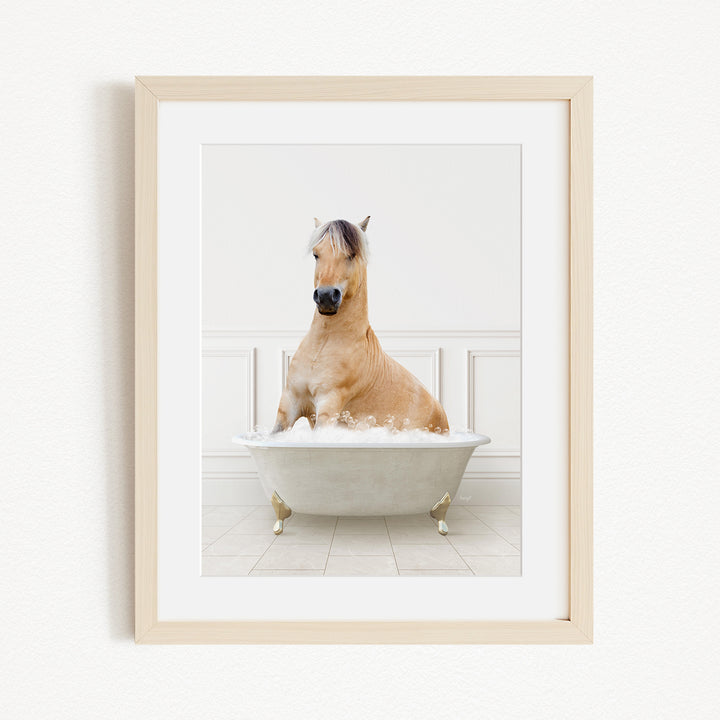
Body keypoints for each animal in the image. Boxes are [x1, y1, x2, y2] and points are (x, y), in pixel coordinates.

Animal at [272, 217, 449, 434]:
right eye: (316, 254)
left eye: (351, 254)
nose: (326, 296)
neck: (322, 346)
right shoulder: (289, 404)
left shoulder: (328, 405)